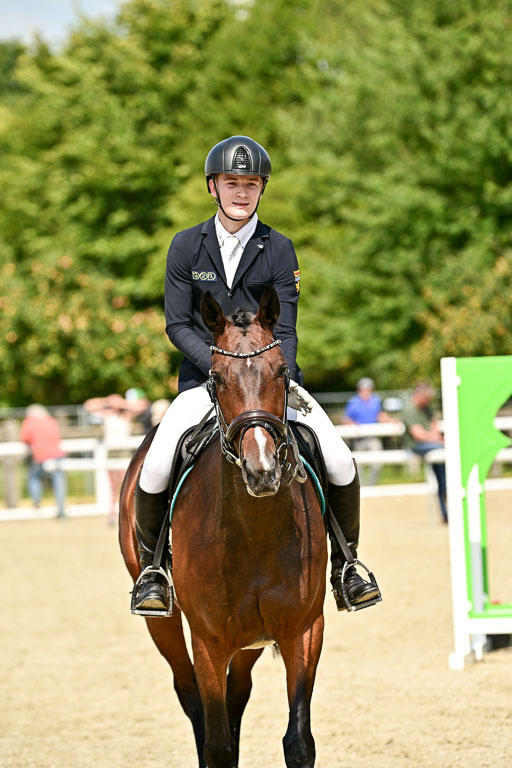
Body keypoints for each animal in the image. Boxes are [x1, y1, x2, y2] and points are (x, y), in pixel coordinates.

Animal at [119, 285, 327, 768]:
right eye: (215, 377)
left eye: (282, 371)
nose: (261, 469)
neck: (255, 530)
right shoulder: (209, 642)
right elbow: (216, 744)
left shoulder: (304, 629)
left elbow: (298, 741)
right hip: (165, 624)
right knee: (191, 697)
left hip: (251, 640)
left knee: (238, 694)